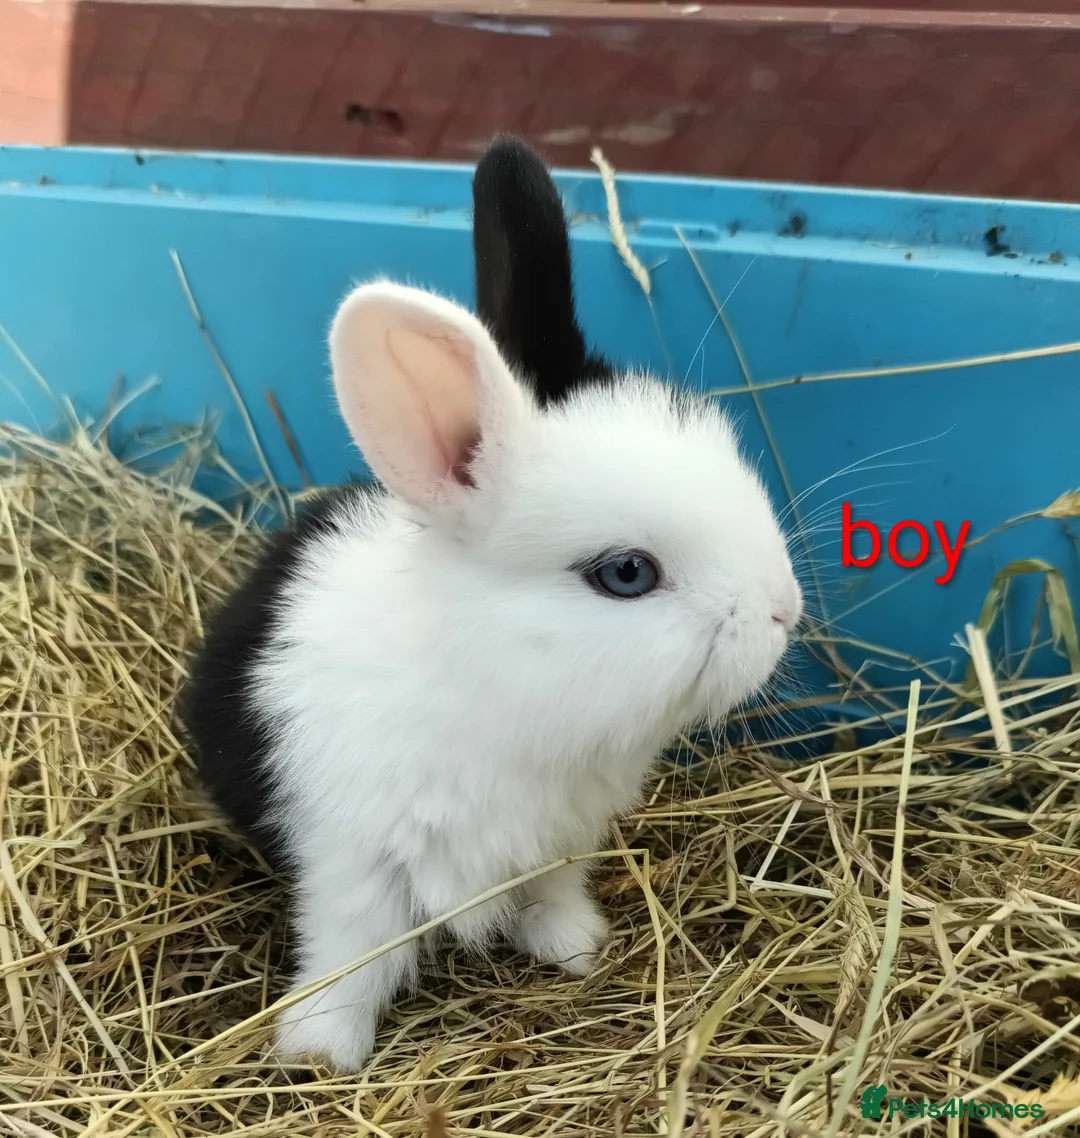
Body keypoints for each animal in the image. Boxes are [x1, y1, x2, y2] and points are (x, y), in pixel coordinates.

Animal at [180, 135, 803, 1074]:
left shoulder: (560, 845)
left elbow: (552, 898)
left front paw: (577, 949)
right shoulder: (353, 865)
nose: (784, 612)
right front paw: (320, 1052)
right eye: (626, 573)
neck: (495, 694)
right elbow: (348, 956)